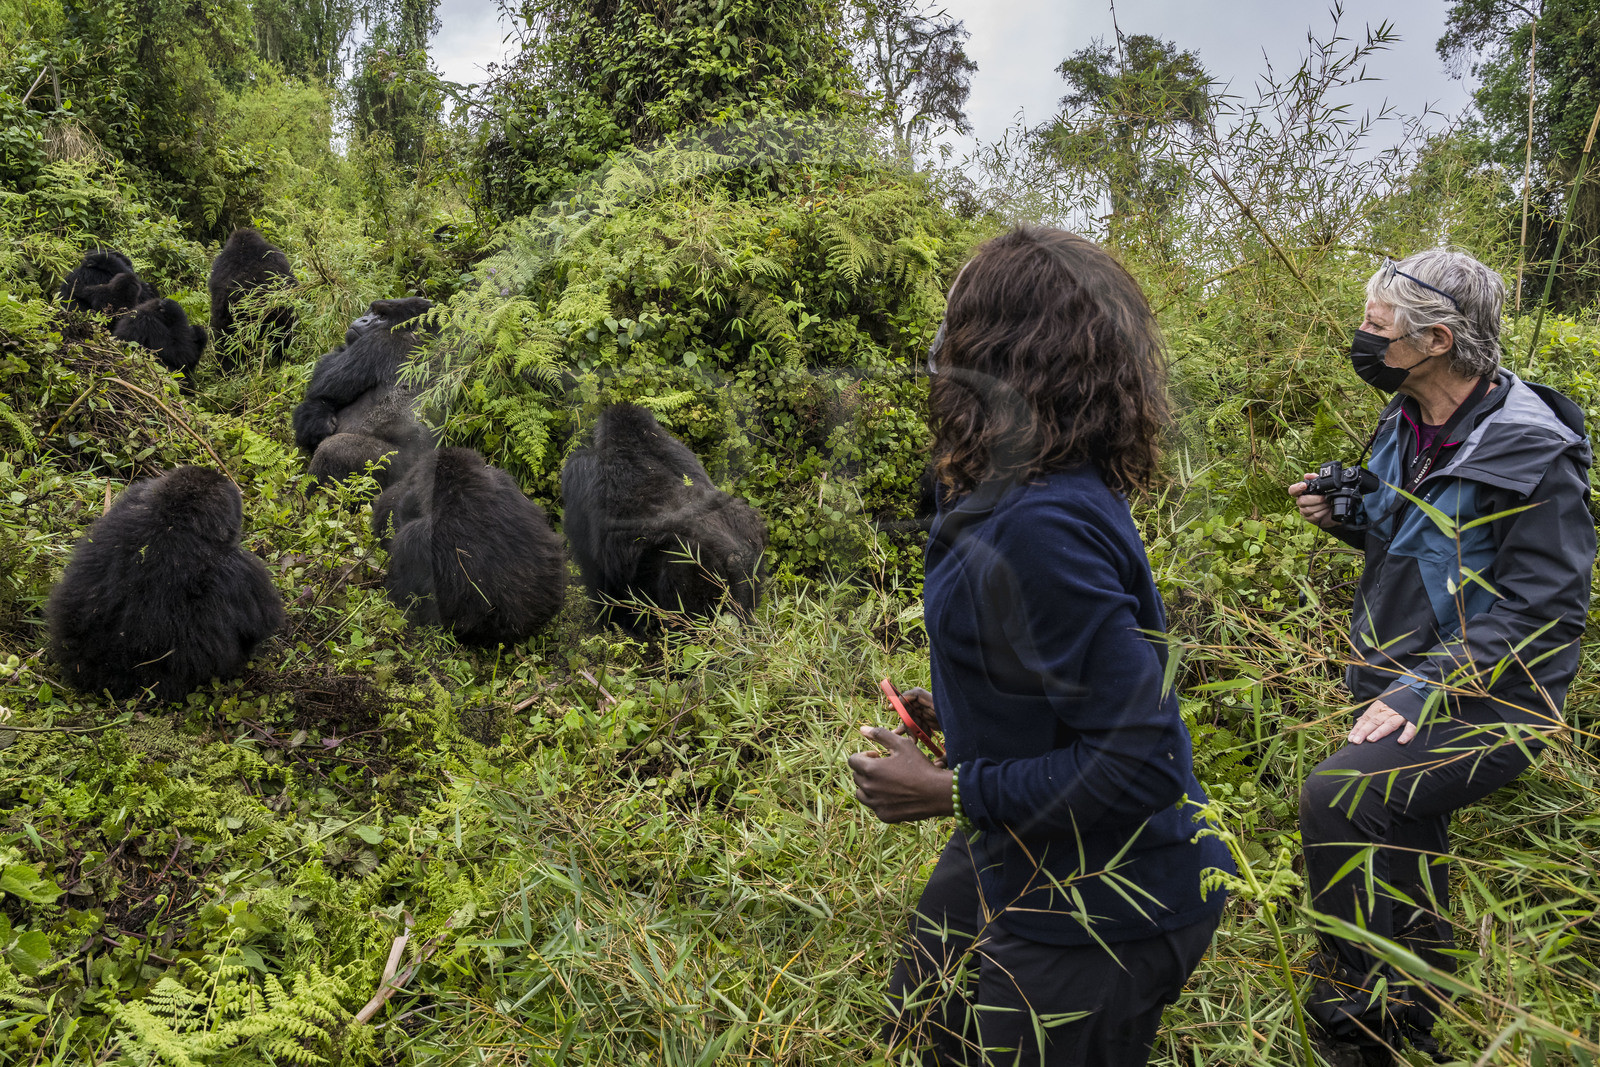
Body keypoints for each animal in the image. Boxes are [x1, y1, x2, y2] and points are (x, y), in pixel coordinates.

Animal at [292, 297, 433, 454]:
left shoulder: (379, 340)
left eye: (383, 317)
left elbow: (321, 388)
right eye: (373, 311)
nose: (364, 319)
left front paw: (316, 416)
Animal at [561, 403, 767, 638]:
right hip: (751, 558)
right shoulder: (677, 448)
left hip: (696, 568)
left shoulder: (578, 469)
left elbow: (596, 571)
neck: (634, 445)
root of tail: (736, 555)